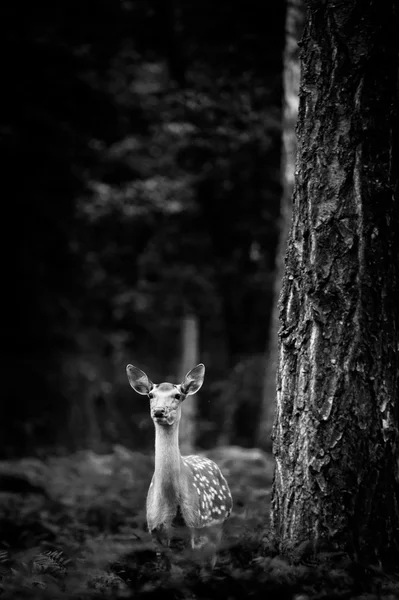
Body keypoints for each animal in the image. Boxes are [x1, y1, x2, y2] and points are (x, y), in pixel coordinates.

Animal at [126, 360, 233, 568]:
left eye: (177, 395)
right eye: (151, 395)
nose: (159, 411)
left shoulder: (197, 526)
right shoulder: (155, 529)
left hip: (217, 525)